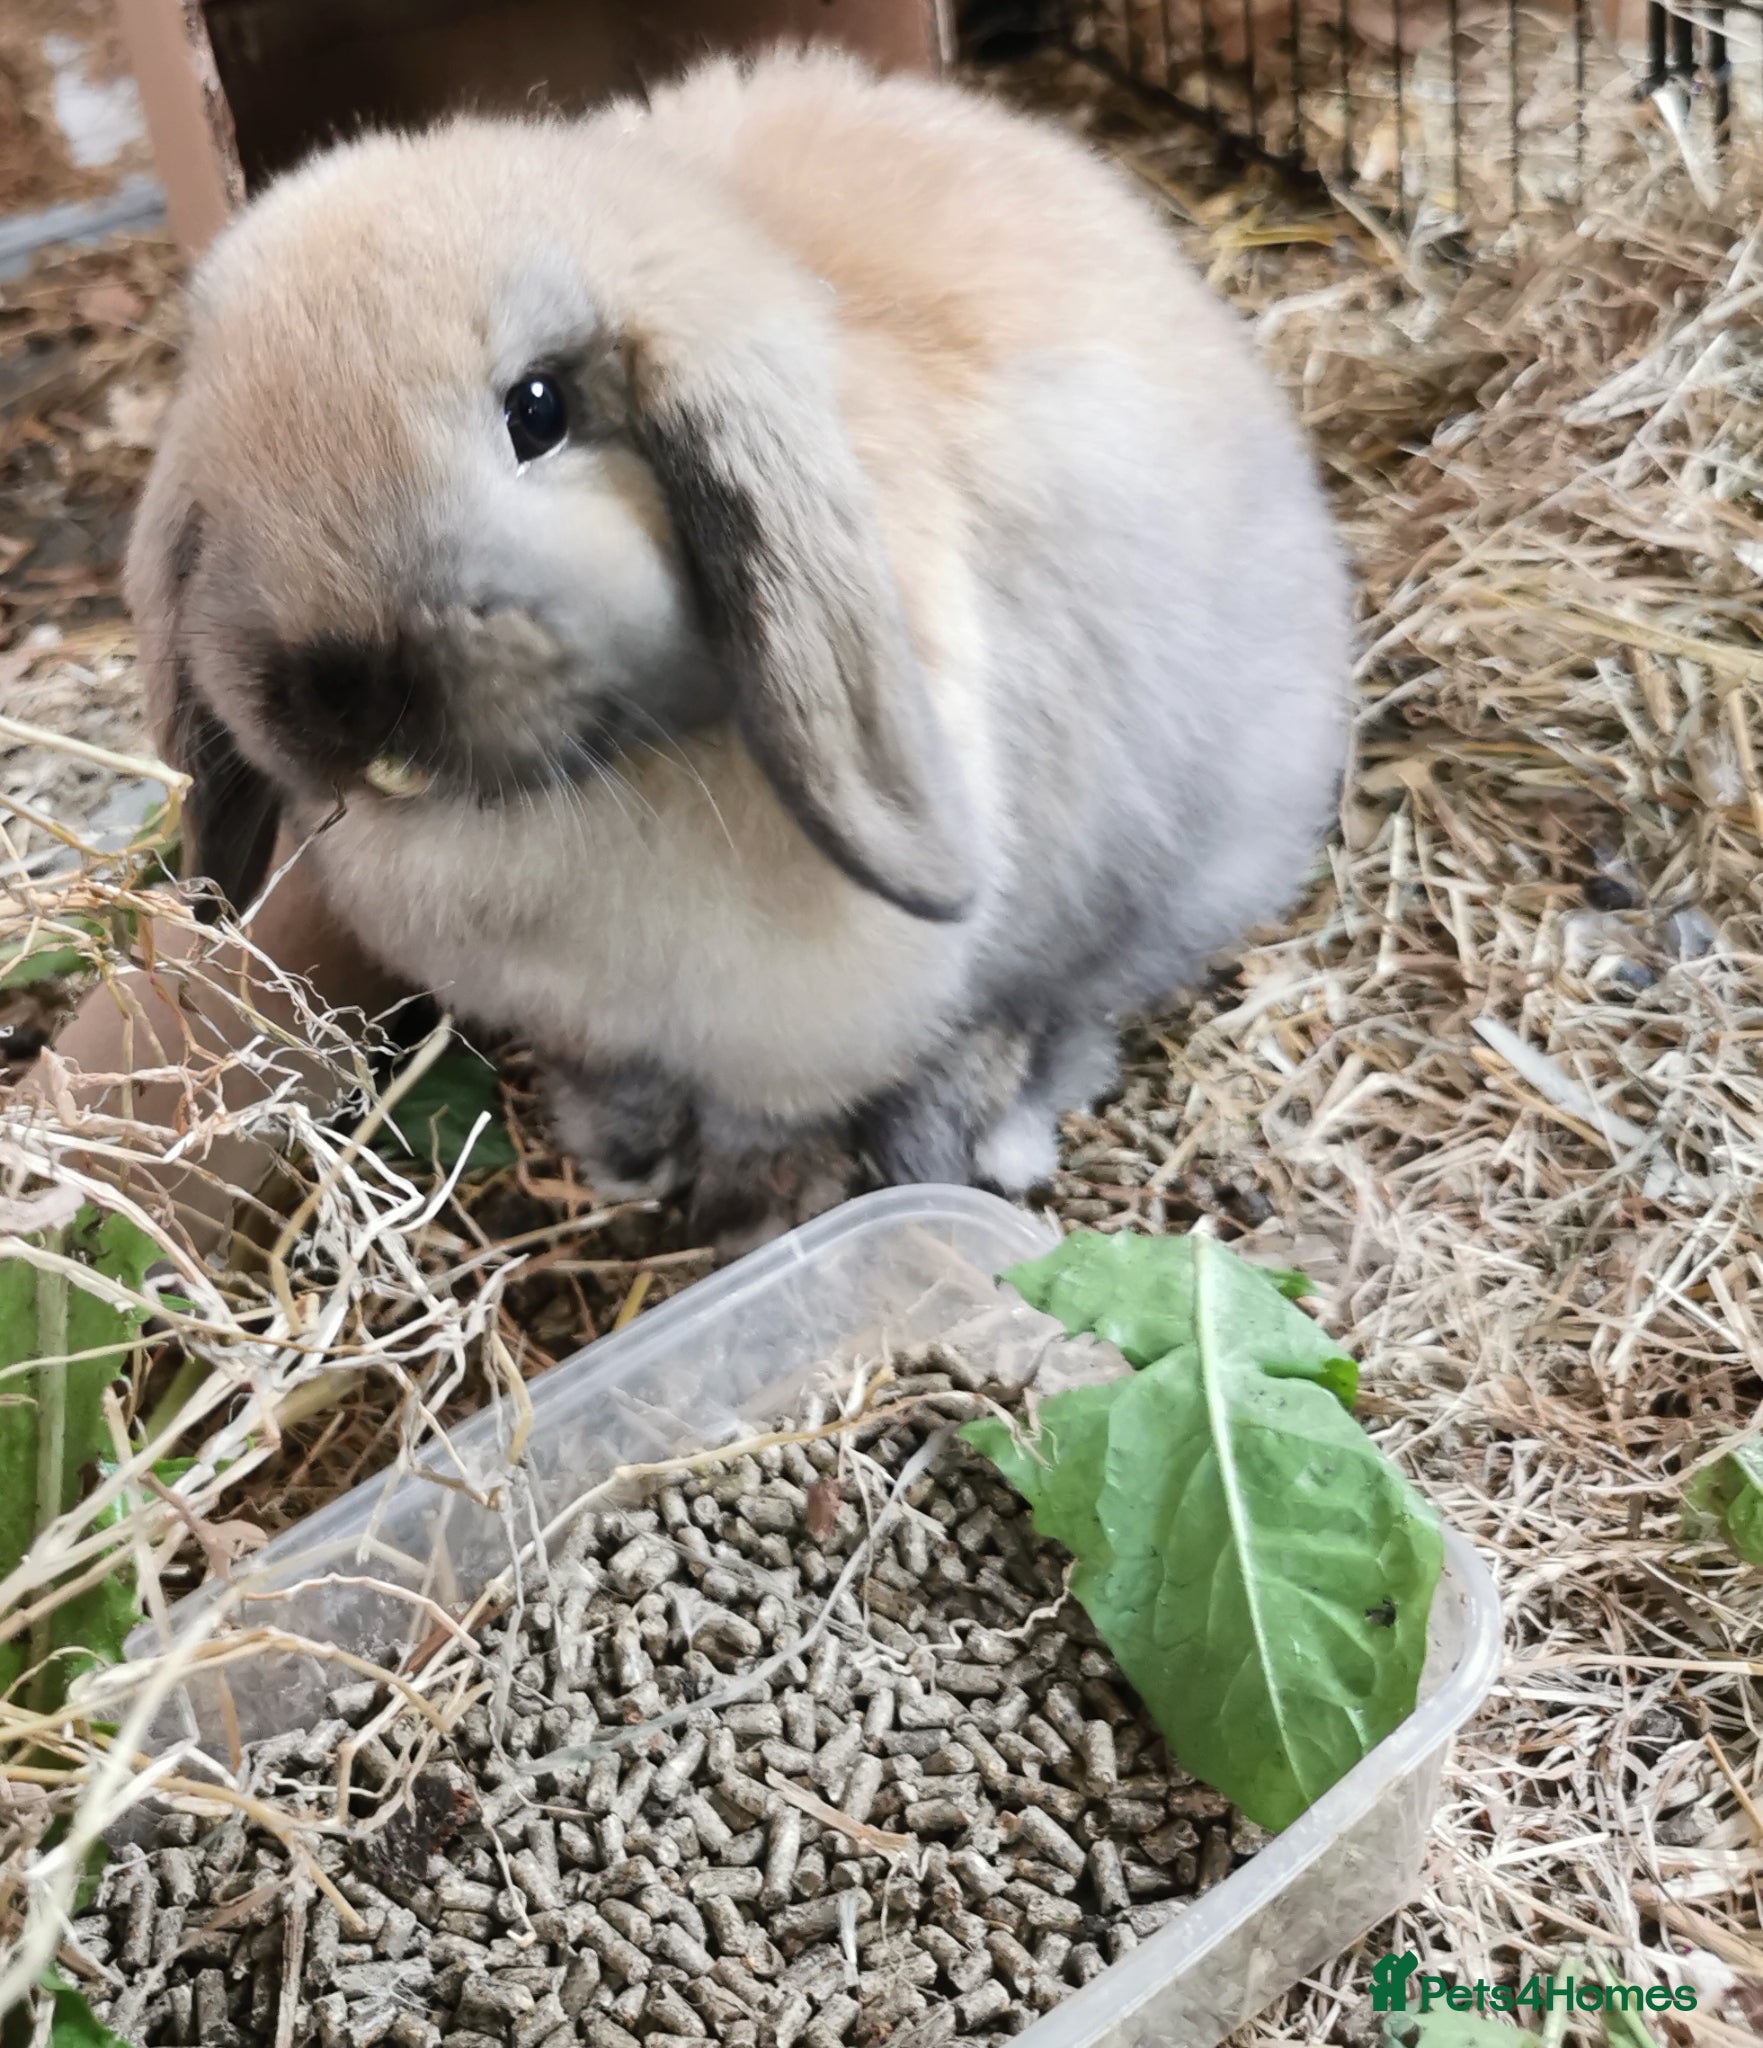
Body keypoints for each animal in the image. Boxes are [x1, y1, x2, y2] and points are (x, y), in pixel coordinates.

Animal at [127, 45, 1352, 1253]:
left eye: (538, 409)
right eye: (227, 448)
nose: (337, 683)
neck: (590, 782)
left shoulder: (800, 1031)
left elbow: (770, 1113)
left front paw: (752, 1209)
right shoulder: (580, 1020)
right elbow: (615, 1079)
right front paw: (623, 1157)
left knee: (1055, 1009)